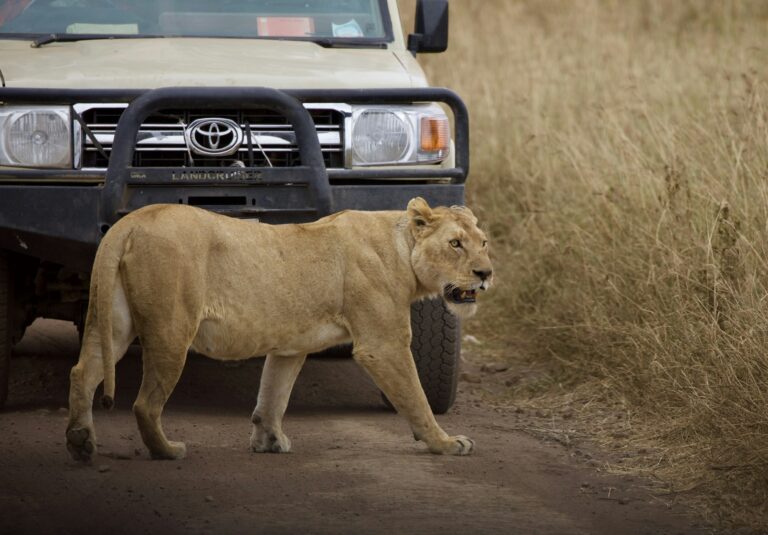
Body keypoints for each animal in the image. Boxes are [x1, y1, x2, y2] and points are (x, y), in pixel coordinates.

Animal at [66, 197, 493, 461]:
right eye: (455, 244)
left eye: (484, 242)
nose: (486, 273)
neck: (402, 246)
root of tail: (129, 222)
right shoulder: (383, 344)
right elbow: (416, 399)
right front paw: (446, 442)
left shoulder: (290, 345)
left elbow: (274, 393)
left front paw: (268, 440)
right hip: (172, 329)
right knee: (144, 403)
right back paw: (167, 451)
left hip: (115, 321)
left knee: (82, 371)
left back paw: (80, 442)